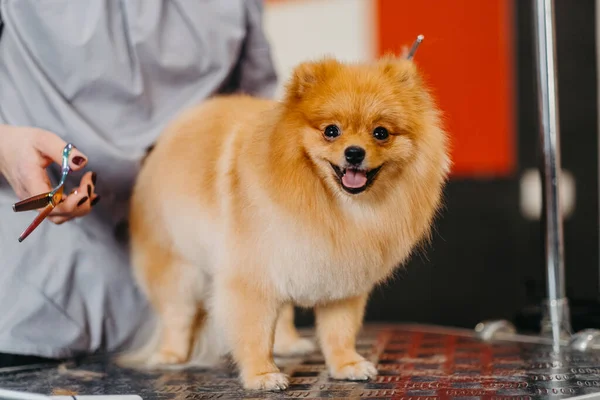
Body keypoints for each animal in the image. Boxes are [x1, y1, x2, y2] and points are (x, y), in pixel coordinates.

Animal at [120, 53, 450, 390]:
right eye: (331, 131)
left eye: (381, 133)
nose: (354, 153)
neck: (333, 206)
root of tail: (164, 143)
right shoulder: (251, 276)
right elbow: (255, 331)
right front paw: (261, 374)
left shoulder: (341, 277)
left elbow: (339, 330)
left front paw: (347, 364)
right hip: (178, 268)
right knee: (177, 314)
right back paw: (170, 355)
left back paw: (289, 344)